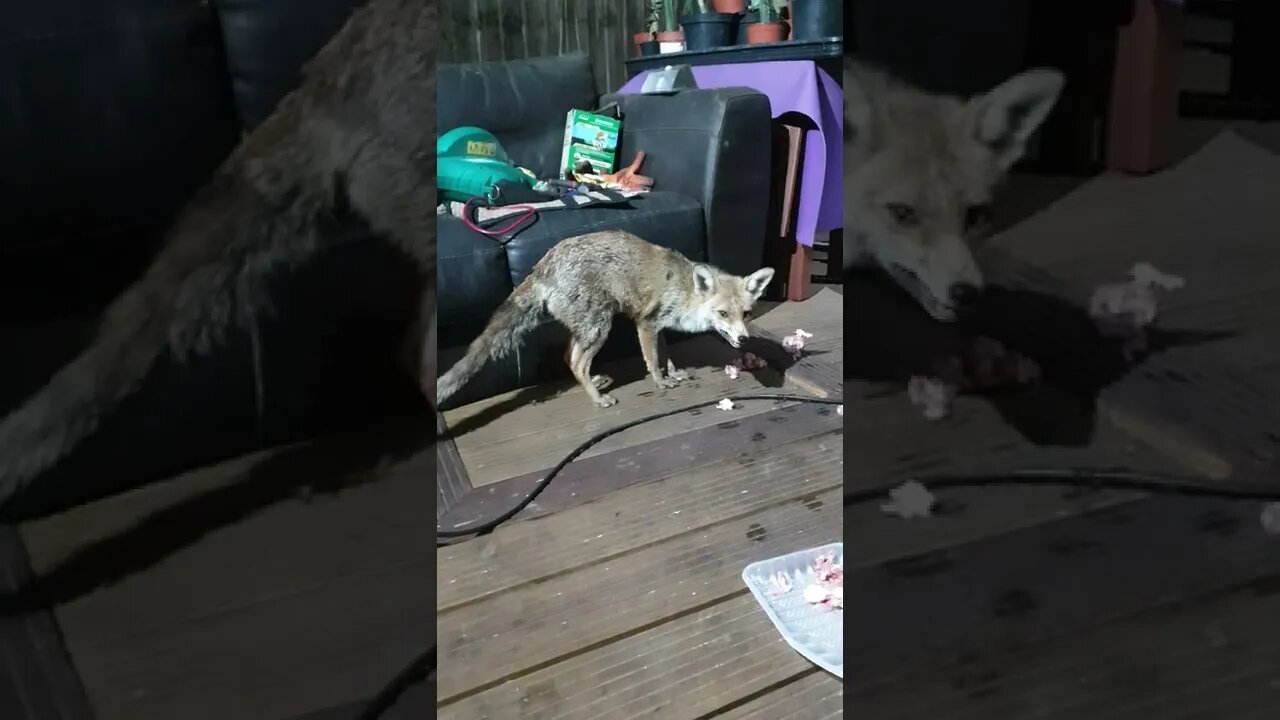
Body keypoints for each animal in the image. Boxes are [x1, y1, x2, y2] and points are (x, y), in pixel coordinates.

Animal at [440, 230, 773, 407]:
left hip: (587, 327)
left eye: (746, 313)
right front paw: (660, 382)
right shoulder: (646, 323)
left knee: (568, 356)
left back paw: (594, 382)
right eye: (722, 314)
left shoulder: (660, 326)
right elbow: (652, 360)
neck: (685, 290)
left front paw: (674, 373)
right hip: (599, 327)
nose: (744, 338)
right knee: (576, 362)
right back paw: (597, 399)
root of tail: (543, 265)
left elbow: (666, 355)